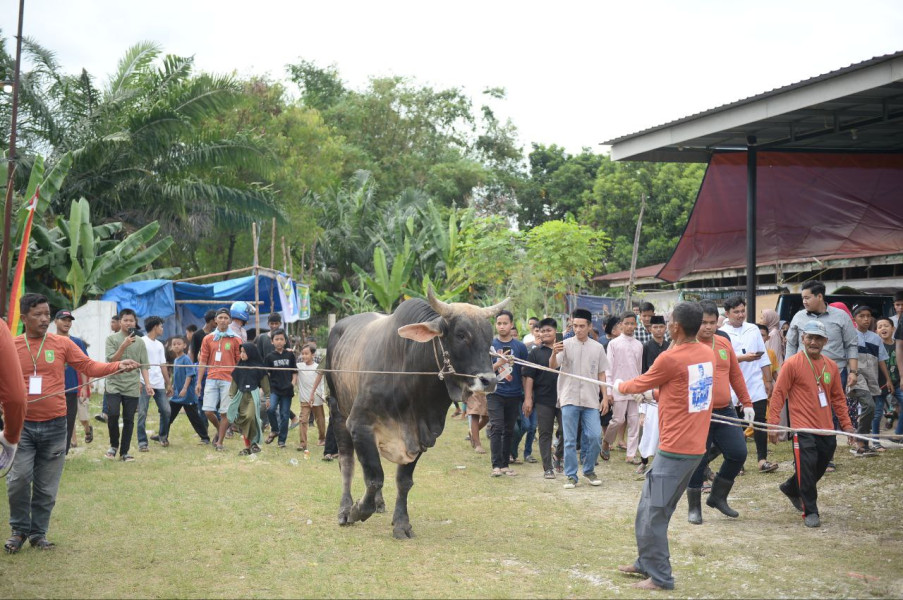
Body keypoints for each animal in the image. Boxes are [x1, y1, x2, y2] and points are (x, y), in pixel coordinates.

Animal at [324, 288, 508, 540]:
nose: (489, 381)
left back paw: (379, 504)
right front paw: (356, 511)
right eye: (461, 335)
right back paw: (344, 509)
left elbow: (403, 481)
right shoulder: (359, 425)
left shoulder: (422, 435)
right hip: (338, 411)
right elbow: (374, 477)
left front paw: (401, 524)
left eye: (490, 337)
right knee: (347, 463)